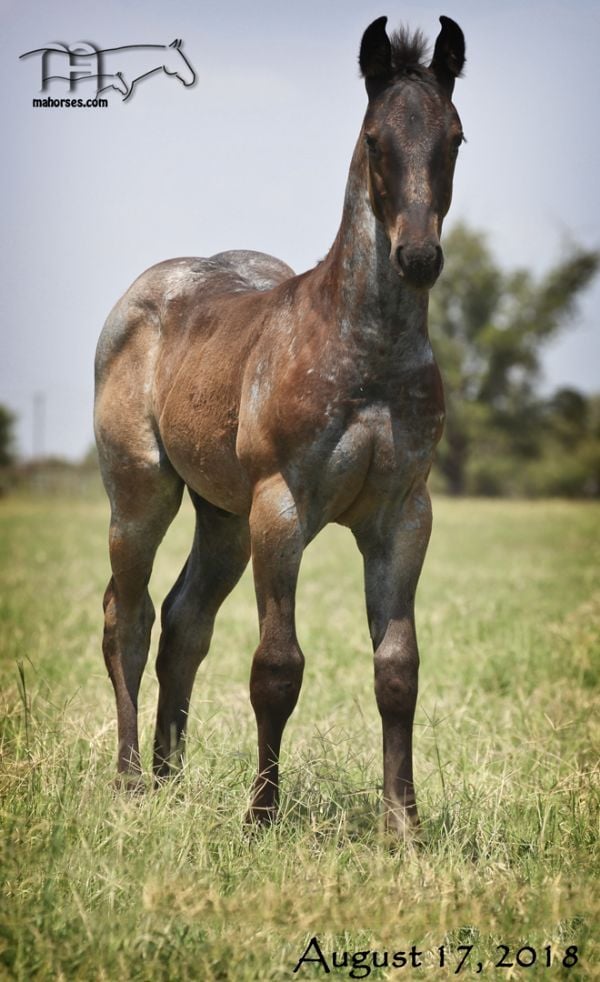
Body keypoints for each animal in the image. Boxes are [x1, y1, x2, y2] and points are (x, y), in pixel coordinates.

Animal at [96, 15, 466, 840]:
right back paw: (132, 781)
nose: (419, 256)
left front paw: (404, 827)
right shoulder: (282, 508)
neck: (366, 353)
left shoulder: (405, 516)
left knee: (185, 622)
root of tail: (144, 291)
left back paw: (169, 776)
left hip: (223, 517)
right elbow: (277, 666)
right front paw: (261, 816)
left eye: (455, 137)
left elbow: (398, 669)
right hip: (142, 495)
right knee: (127, 618)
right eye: (374, 139)